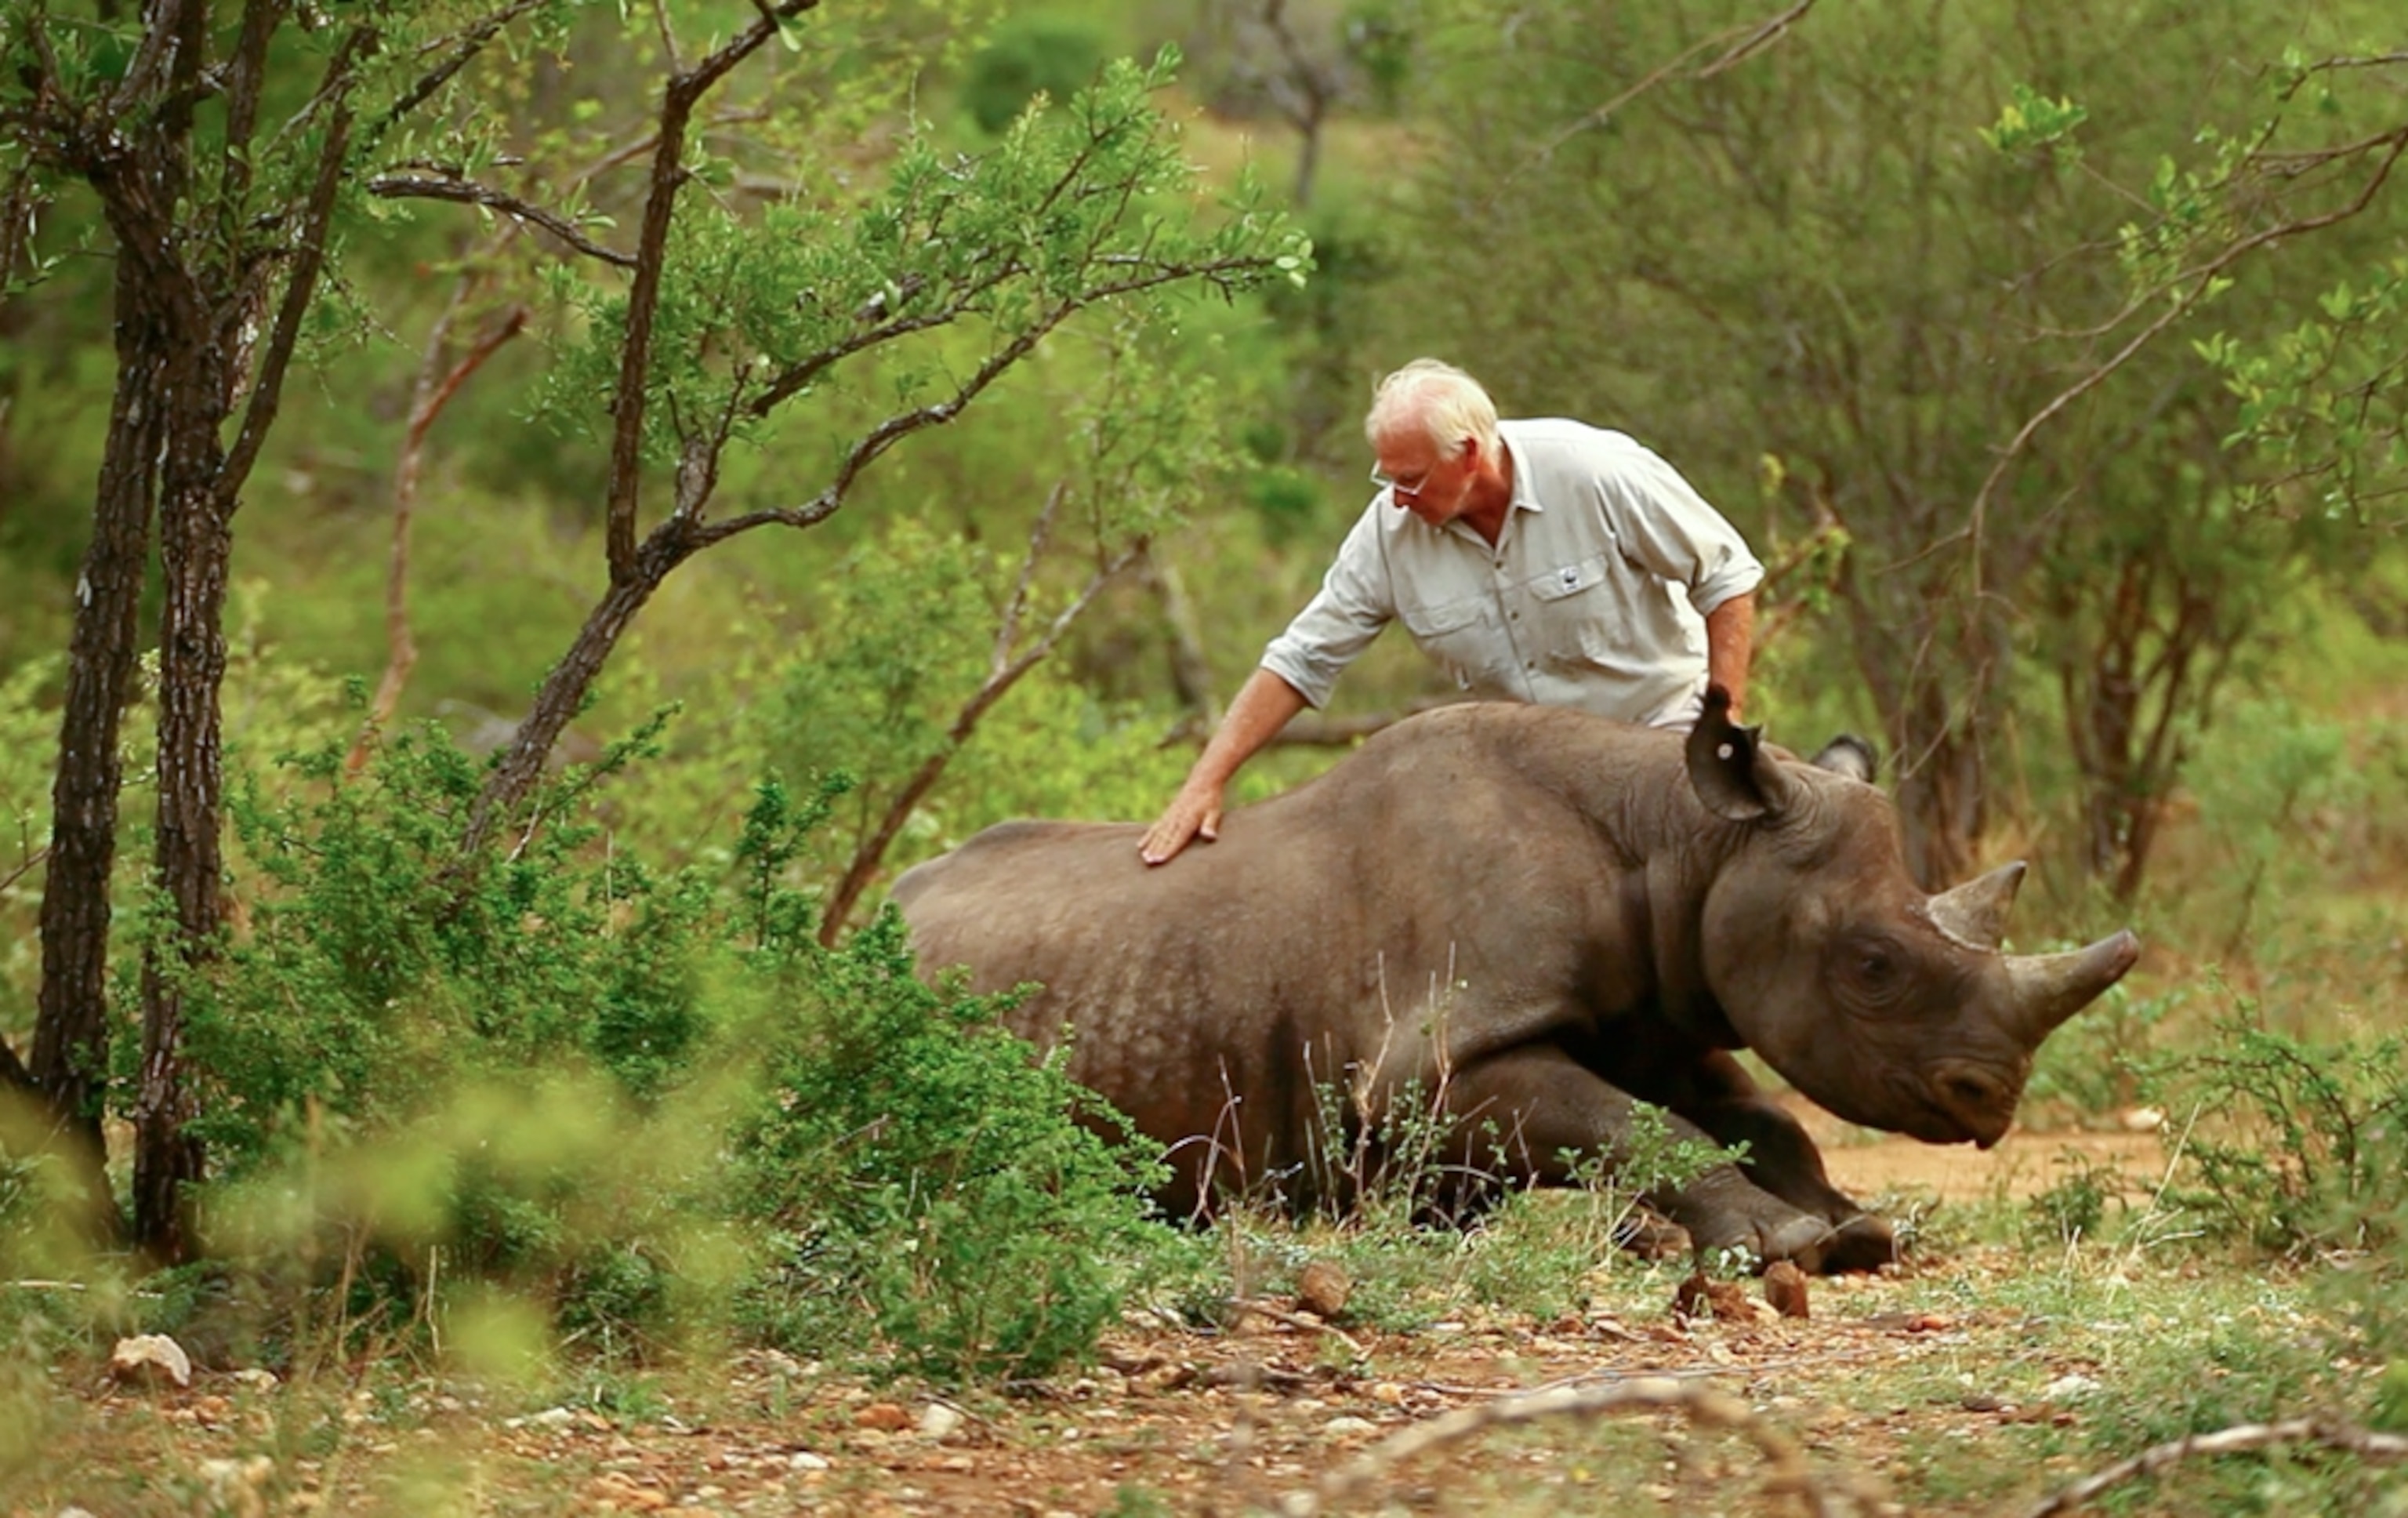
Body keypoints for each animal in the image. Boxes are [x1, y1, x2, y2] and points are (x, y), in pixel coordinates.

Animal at [892, 690, 2139, 1272]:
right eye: (1874, 966)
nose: (1991, 1101)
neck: (1687, 840)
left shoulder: (1651, 1007)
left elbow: (1758, 1116)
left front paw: (1854, 1228)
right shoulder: (1431, 1061)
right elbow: (1632, 1122)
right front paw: (1782, 1241)